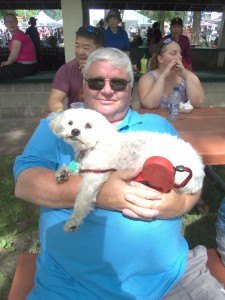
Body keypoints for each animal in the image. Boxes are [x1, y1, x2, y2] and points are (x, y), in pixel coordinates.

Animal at [50, 108, 205, 232]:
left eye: (89, 126)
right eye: (70, 123)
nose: (75, 131)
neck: (94, 145)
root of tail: (199, 171)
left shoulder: (95, 176)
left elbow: (83, 199)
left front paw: (74, 220)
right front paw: (63, 173)